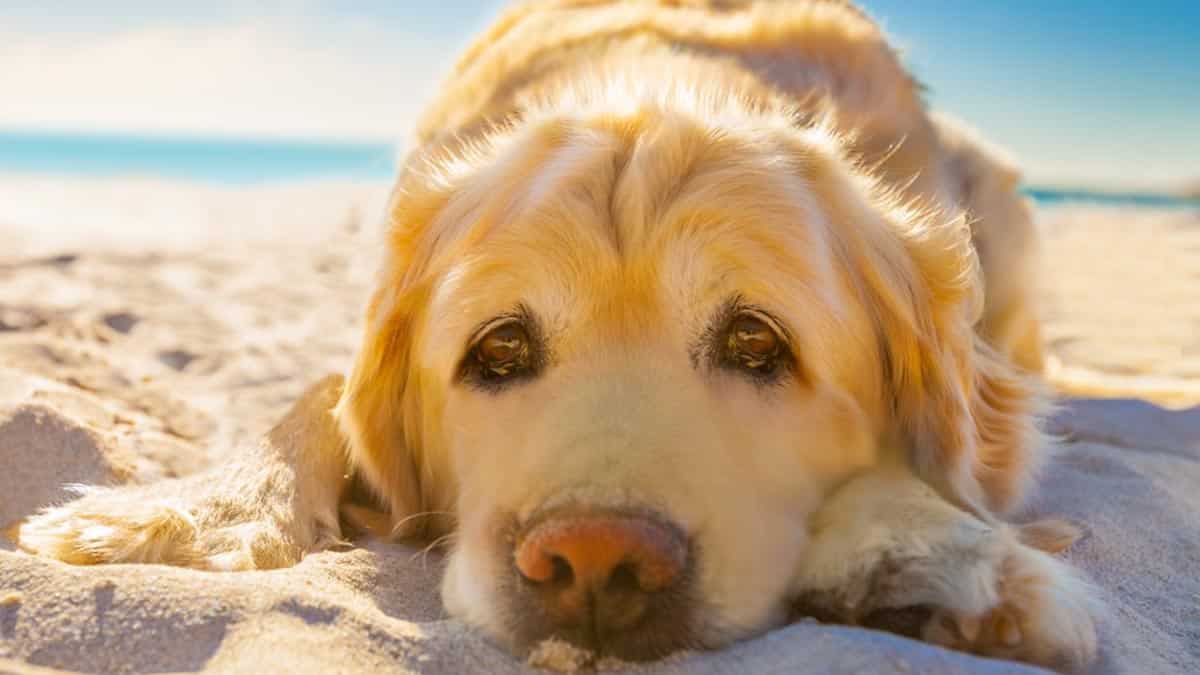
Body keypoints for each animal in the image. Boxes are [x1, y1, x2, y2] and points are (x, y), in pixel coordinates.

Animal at [14, 1, 1099, 667]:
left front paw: (933, 549)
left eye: (758, 344)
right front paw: (188, 514)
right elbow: (319, 391)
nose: (595, 561)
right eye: (498, 348)